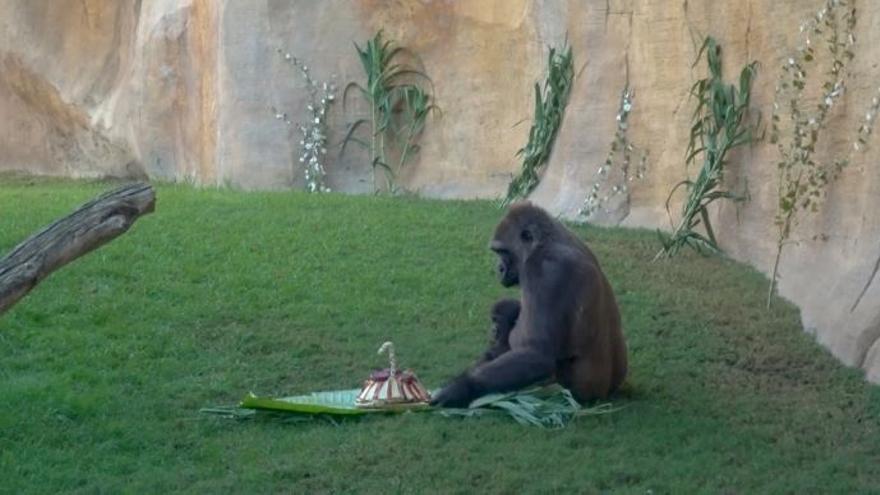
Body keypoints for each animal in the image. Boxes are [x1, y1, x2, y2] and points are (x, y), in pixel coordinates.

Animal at [432, 202, 624, 406]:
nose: (499, 268)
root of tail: (605, 395)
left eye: (502, 251)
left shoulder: (545, 272)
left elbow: (537, 354)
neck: (546, 242)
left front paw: (461, 387)